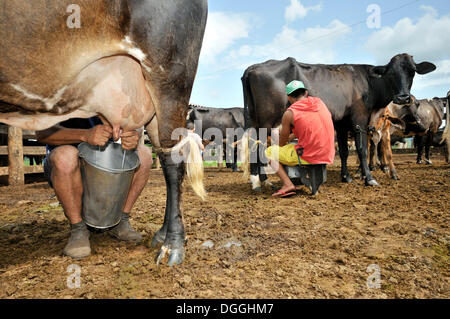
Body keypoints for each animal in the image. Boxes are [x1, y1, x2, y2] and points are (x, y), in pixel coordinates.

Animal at [243, 53, 436, 191]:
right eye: (390, 72)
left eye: (412, 71)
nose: (403, 97)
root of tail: (252, 68)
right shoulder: (359, 120)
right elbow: (362, 150)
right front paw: (369, 178)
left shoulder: (342, 124)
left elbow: (343, 151)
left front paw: (346, 177)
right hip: (267, 121)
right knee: (257, 148)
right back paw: (258, 183)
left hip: (255, 120)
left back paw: (263, 182)